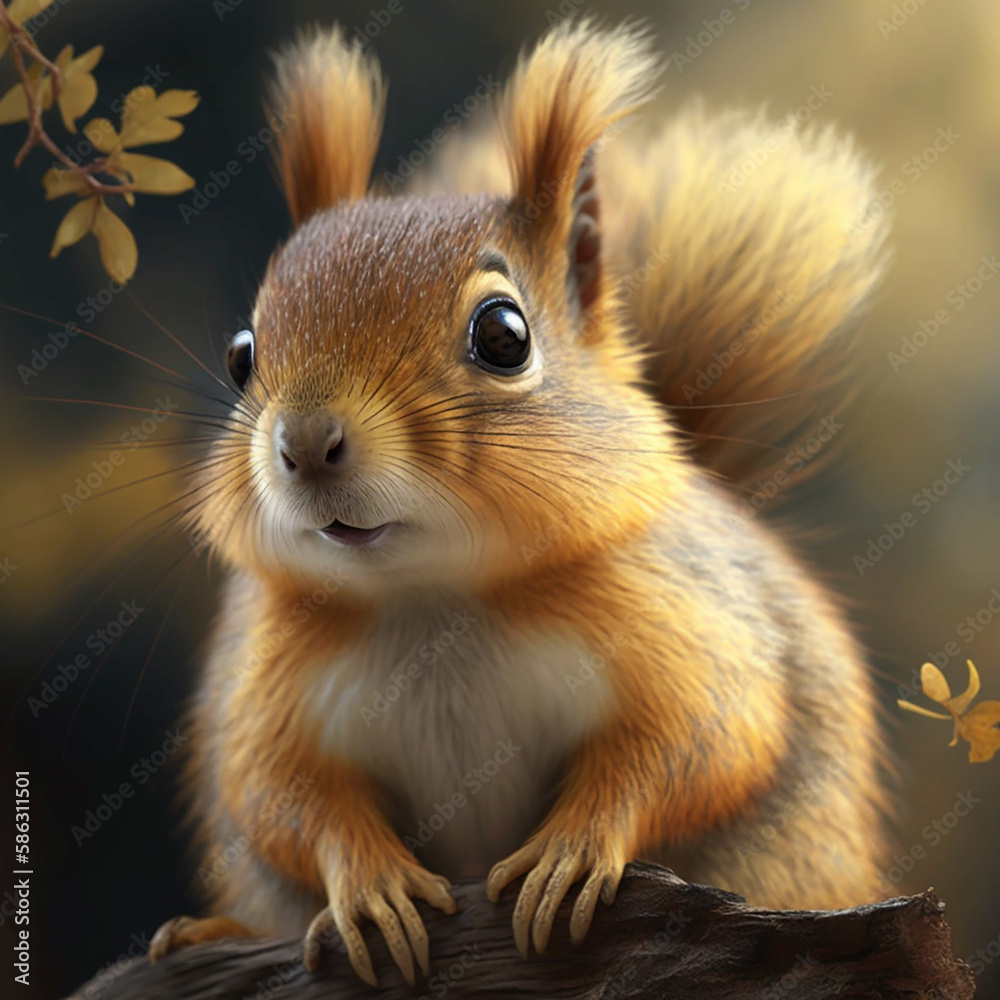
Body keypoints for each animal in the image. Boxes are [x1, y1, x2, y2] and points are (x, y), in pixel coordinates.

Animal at [147, 20, 893, 987]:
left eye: (504, 336)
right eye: (242, 353)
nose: (306, 441)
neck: (432, 597)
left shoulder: (689, 626)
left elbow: (701, 741)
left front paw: (572, 848)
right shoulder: (269, 687)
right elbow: (283, 795)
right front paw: (371, 882)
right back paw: (211, 931)